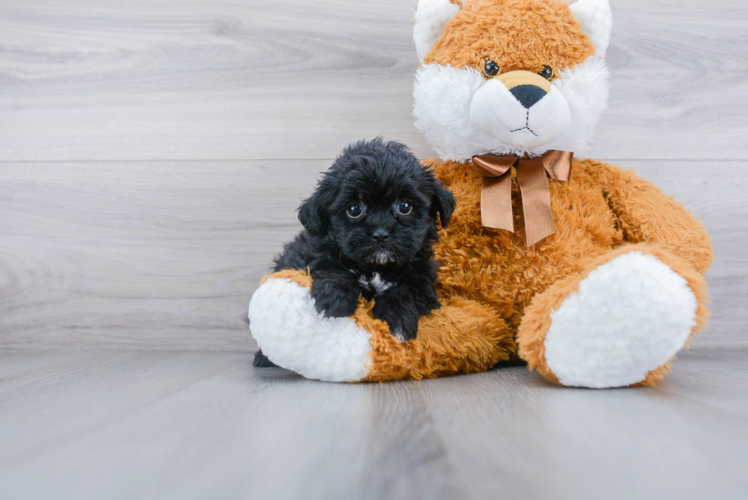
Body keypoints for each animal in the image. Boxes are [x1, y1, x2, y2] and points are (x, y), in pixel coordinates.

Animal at [254, 139, 456, 370]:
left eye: (404, 206)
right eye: (354, 209)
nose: (380, 234)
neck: (376, 268)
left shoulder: (423, 281)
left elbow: (406, 291)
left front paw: (397, 317)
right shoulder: (311, 256)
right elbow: (332, 269)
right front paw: (335, 297)